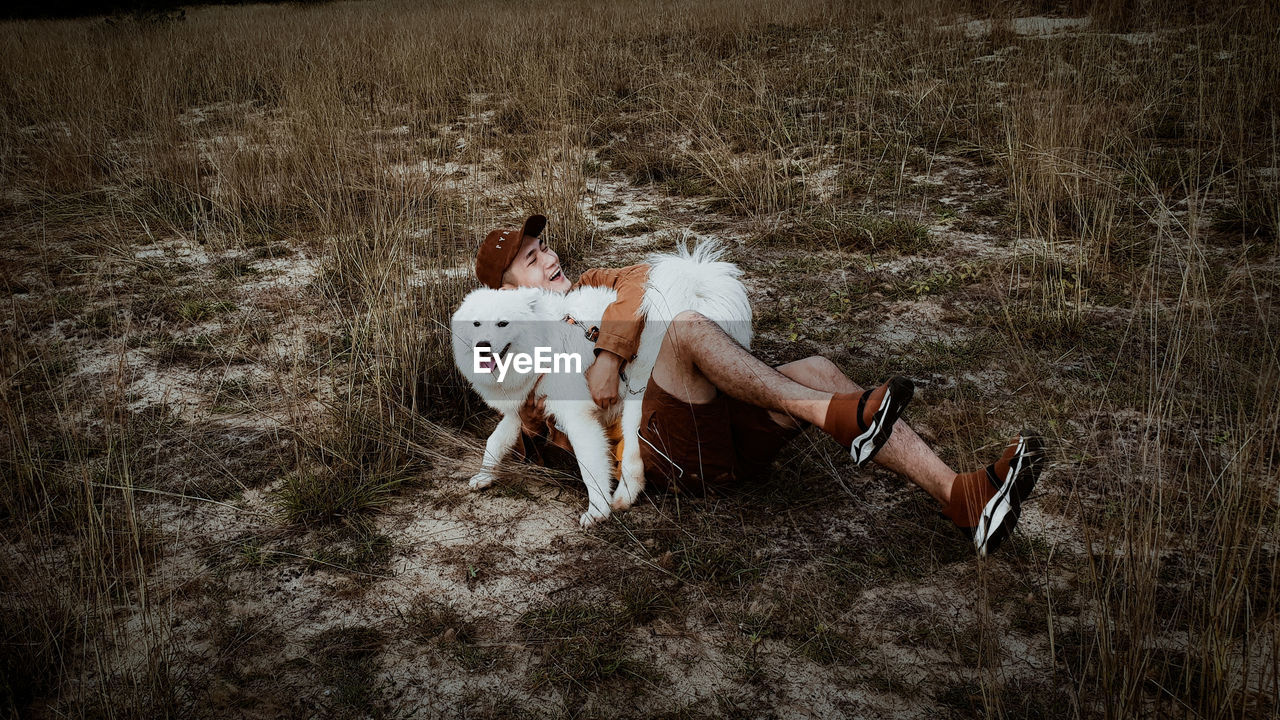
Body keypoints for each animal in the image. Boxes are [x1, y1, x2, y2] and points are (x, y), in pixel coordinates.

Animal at [450, 240, 747, 527]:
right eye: (476, 324)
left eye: (503, 323)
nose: (482, 346)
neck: (543, 344)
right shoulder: (520, 409)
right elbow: (494, 441)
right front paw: (484, 475)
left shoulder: (577, 417)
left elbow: (590, 466)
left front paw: (597, 511)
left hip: (638, 401)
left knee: (634, 460)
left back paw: (623, 497)